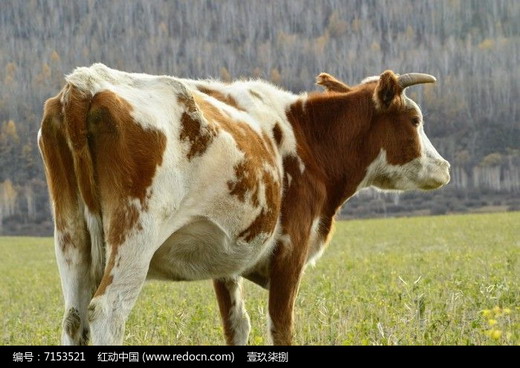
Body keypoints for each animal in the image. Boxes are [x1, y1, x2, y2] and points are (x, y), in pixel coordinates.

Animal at [38, 64, 448, 344]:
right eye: (415, 119)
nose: (443, 167)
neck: (306, 137)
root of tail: (87, 83)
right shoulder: (290, 250)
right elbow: (280, 327)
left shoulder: (226, 256)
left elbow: (237, 325)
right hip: (135, 234)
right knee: (107, 311)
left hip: (71, 238)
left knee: (74, 318)